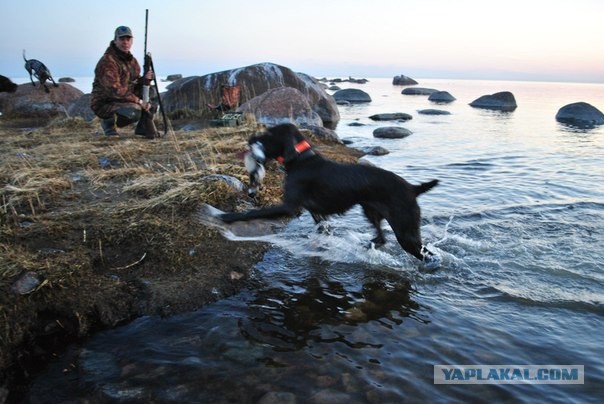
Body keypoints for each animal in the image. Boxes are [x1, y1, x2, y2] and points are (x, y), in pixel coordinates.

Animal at [219, 121, 442, 264]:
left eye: (268, 135)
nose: (251, 138)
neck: (301, 161)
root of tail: (413, 188)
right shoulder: (317, 213)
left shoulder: (290, 207)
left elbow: (254, 212)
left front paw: (226, 216)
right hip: (371, 212)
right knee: (381, 238)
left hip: (406, 232)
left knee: (427, 256)